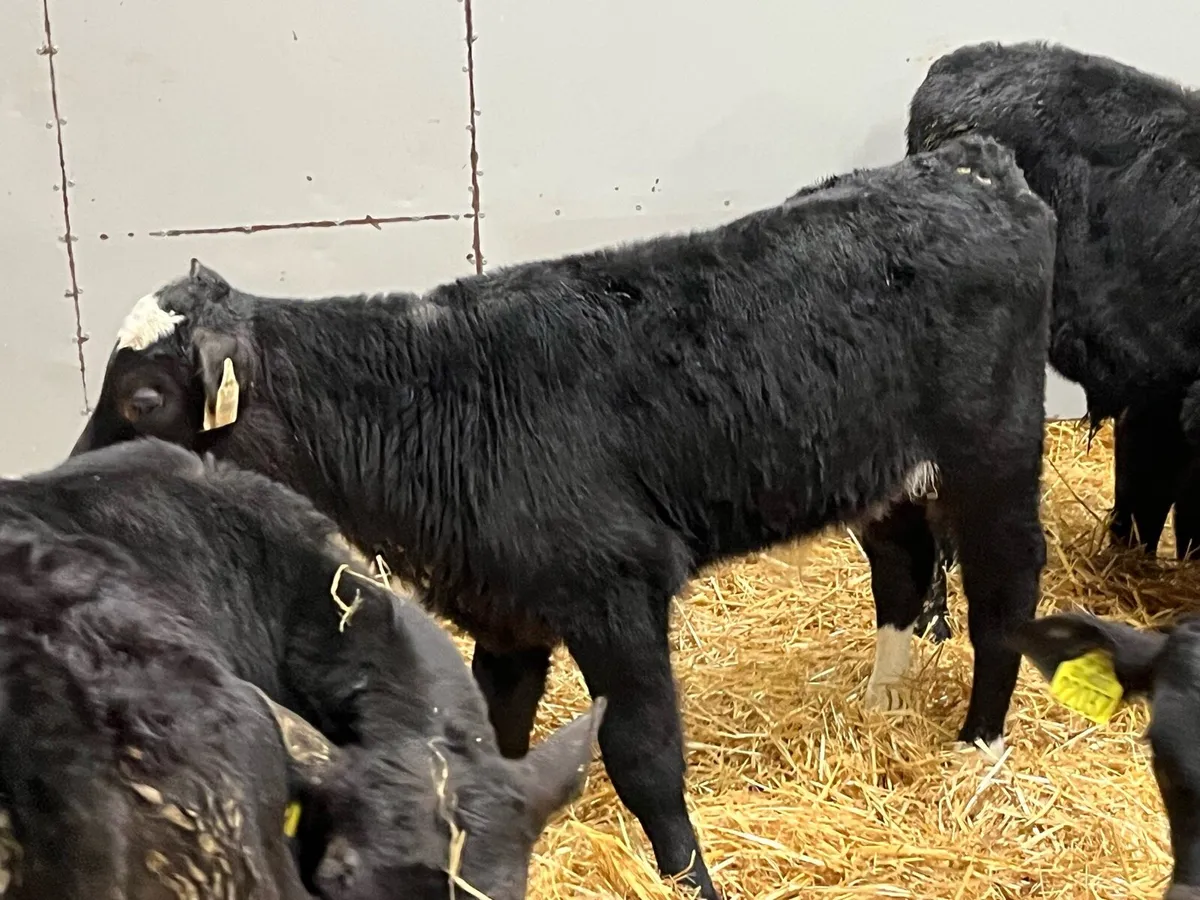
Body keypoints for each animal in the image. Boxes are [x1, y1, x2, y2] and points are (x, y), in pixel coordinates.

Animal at [70, 134, 1056, 898]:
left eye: (147, 397)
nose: (76, 476)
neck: (434, 402)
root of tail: (965, 163)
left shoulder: (613, 591)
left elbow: (644, 756)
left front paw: (690, 880)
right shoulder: (507, 608)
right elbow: (487, 734)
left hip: (995, 451)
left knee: (1005, 588)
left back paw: (980, 746)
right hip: (880, 468)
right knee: (902, 558)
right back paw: (885, 696)